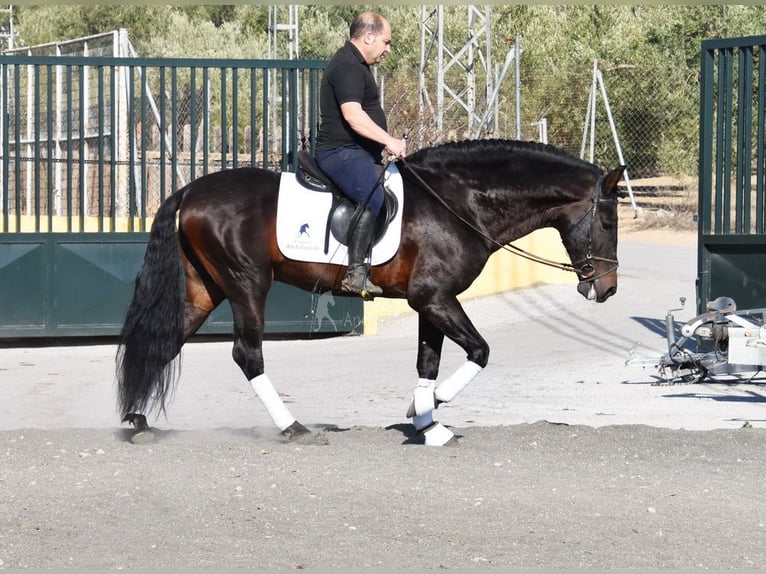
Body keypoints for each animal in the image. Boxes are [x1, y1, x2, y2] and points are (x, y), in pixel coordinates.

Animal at [117, 140, 628, 450]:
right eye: (607, 222)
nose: (607, 289)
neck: (460, 203)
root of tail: (189, 191)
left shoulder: (429, 302)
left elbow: (428, 362)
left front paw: (427, 422)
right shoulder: (435, 299)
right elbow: (480, 351)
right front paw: (428, 410)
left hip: (205, 290)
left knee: (165, 341)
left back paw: (138, 421)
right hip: (246, 283)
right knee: (248, 354)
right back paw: (293, 427)